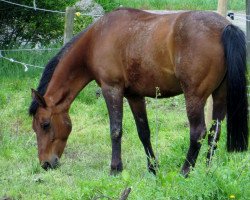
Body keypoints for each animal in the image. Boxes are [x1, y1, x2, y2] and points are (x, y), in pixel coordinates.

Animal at [28, 8, 248, 177]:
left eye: (45, 124)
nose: (45, 164)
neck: (96, 39)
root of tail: (224, 27)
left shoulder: (112, 89)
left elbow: (115, 130)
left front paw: (115, 169)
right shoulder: (134, 96)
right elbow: (144, 132)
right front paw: (152, 168)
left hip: (194, 96)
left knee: (198, 132)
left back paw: (185, 171)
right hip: (220, 95)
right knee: (214, 132)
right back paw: (207, 171)